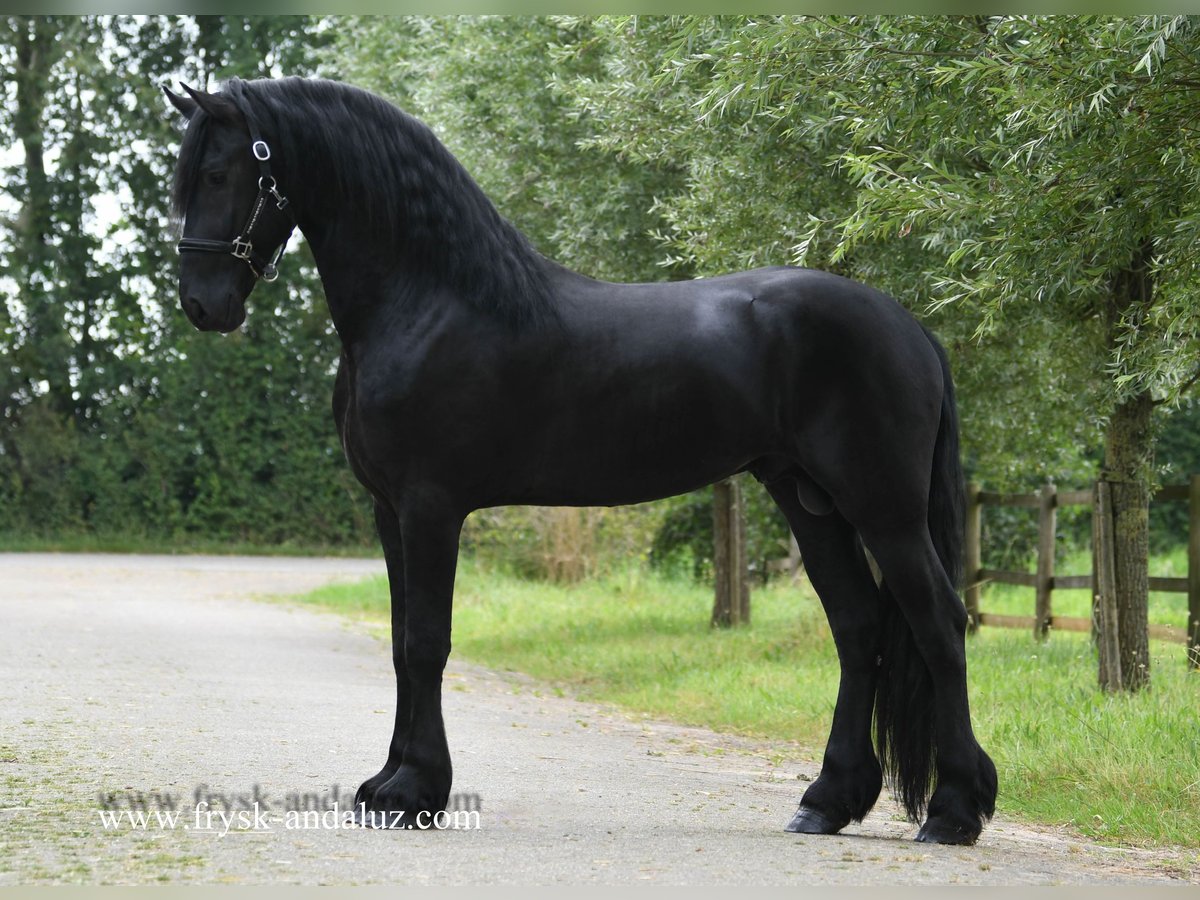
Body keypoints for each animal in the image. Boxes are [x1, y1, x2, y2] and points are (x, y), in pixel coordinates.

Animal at [166, 77, 993, 844]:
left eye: (218, 173)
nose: (203, 306)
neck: (430, 299)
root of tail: (911, 328)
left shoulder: (431, 506)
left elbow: (427, 642)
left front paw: (415, 793)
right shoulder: (389, 510)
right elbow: (401, 642)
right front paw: (387, 784)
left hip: (883, 508)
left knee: (937, 621)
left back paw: (953, 811)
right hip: (807, 498)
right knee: (857, 627)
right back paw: (827, 801)